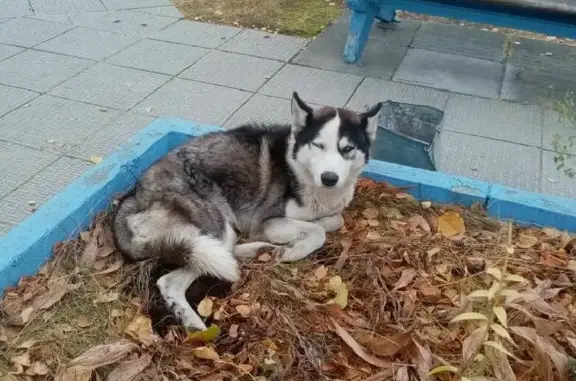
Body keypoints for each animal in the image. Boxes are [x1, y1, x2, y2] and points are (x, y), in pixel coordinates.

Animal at [112, 91, 382, 330]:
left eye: (347, 149)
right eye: (318, 145)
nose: (329, 178)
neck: (300, 170)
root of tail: (134, 196)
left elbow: (333, 221)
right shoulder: (266, 221)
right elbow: (317, 232)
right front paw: (294, 251)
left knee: (227, 253)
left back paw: (263, 250)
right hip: (215, 225)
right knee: (172, 280)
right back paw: (195, 326)